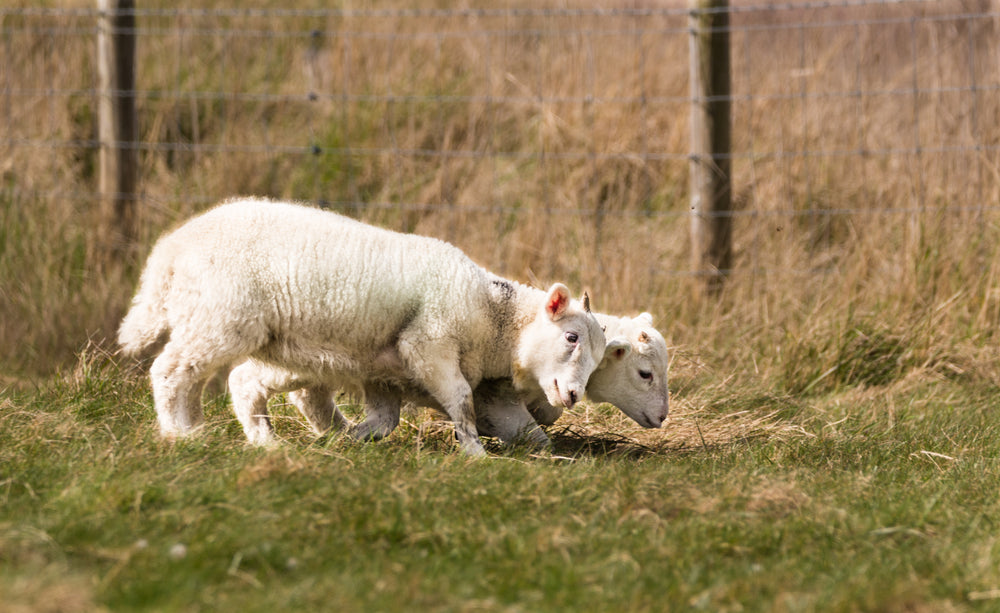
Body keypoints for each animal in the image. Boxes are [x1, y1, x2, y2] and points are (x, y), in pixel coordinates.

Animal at [117, 197, 609, 456]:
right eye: (571, 337)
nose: (573, 396)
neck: (493, 317)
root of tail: (172, 248)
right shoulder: (428, 341)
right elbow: (461, 401)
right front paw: (474, 452)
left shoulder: (389, 370)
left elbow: (387, 418)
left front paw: (349, 440)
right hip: (221, 318)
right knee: (170, 371)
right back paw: (180, 434)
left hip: (264, 339)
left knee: (227, 380)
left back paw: (249, 438)